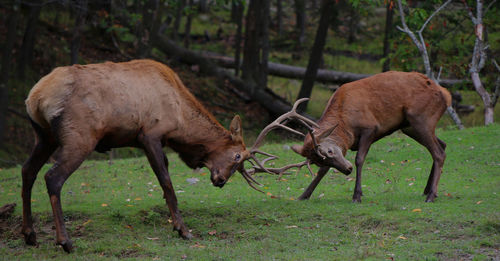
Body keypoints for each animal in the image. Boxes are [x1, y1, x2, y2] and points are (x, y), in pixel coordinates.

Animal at [23, 59, 272, 252]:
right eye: (237, 157)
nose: (220, 181)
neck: (181, 120)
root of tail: (35, 98)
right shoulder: (150, 135)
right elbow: (166, 182)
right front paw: (183, 229)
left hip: (43, 137)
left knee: (28, 171)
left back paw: (30, 235)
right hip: (80, 138)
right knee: (52, 177)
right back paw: (65, 241)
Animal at [252, 71, 452, 203]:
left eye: (329, 151)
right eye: (318, 160)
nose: (346, 170)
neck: (346, 124)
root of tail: (446, 94)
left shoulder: (370, 128)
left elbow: (360, 159)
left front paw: (357, 195)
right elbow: (322, 173)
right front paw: (304, 195)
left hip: (420, 118)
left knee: (438, 153)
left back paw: (431, 195)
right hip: (410, 126)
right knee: (442, 145)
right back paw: (427, 190)